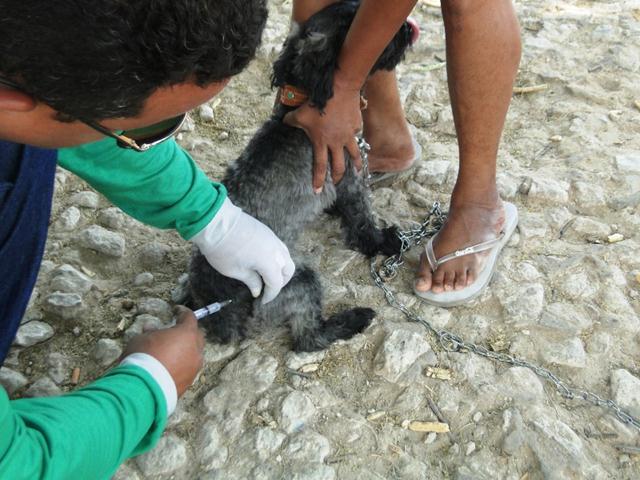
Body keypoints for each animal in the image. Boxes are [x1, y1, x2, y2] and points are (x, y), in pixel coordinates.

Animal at [188, 0, 416, 352]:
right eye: (354, 23)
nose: (407, 27)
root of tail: (225, 316)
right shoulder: (351, 178)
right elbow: (362, 220)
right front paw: (385, 241)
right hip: (297, 279)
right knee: (308, 338)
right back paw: (354, 319)